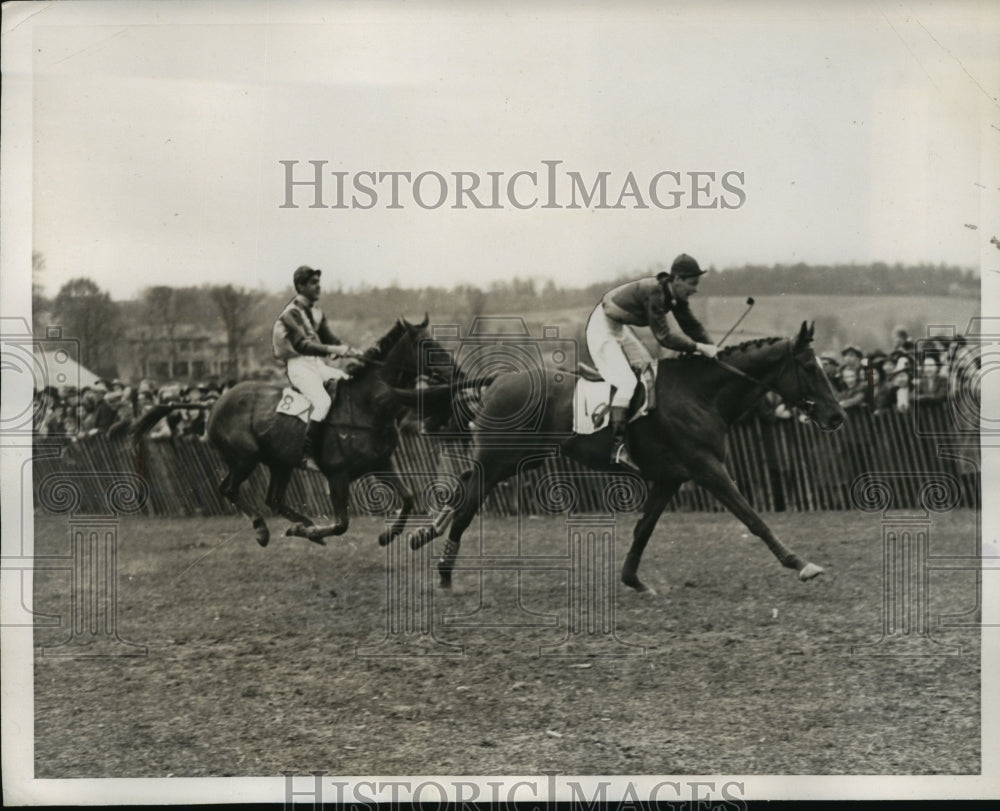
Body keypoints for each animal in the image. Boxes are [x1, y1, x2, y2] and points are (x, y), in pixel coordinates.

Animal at [130, 314, 450, 548]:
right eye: (426, 345)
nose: (453, 370)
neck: (368, 405)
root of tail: (215, 401)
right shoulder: (337, 475)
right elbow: (341, 523)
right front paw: (310, 533)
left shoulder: (382, 462)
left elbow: (408, 498)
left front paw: (388, 535)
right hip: (244, 458)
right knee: (228, 488)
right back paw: (265, 530)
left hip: (280, 463)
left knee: (273, 498)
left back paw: (303, 523)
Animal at [410, 320, 848, 592]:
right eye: (810, 367)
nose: (837, 416)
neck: (700, 394)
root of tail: (499, 379)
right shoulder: (708, 469)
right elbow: (753, 518)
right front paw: (800, 563)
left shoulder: (670, 477)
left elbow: (644, 529)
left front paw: (633, 580)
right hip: (498, 459)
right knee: (467, 506)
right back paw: (444, 573)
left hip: (519, 459)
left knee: (462, 489)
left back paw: (425, 535)